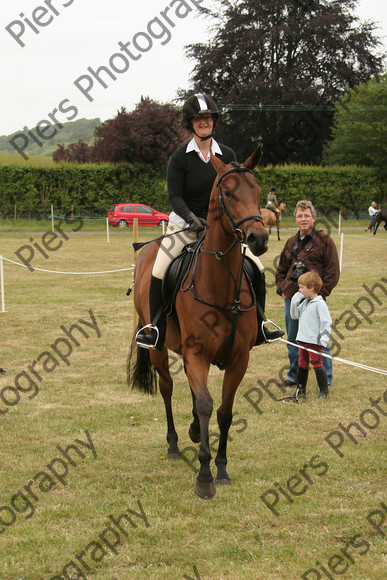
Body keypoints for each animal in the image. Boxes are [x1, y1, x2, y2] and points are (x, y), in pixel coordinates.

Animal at [129, 150, 268, 498]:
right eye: (228, 192)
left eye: (257, 191)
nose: (259, 239)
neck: (220, 286)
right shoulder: (196, 354)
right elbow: (205, 404)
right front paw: (204, 477)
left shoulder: (238, 359)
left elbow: (223, 411)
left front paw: (222, 469)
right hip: (159, 348)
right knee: (167, 387)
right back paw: (174, 445)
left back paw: (193, 431)